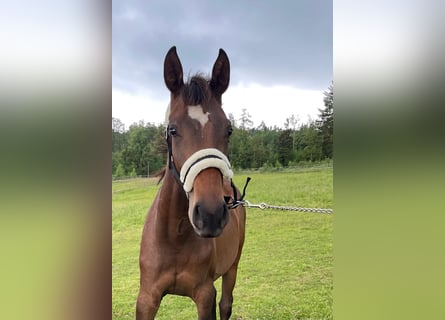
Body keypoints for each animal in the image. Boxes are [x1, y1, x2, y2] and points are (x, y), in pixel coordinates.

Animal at [135, 45, 246, 320]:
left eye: (228, 130)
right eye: (173, 129)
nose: (210, 214)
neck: (174, 237)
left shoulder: (205, 294)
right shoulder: (146, 298)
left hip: (233, 266)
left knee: (226, 304)